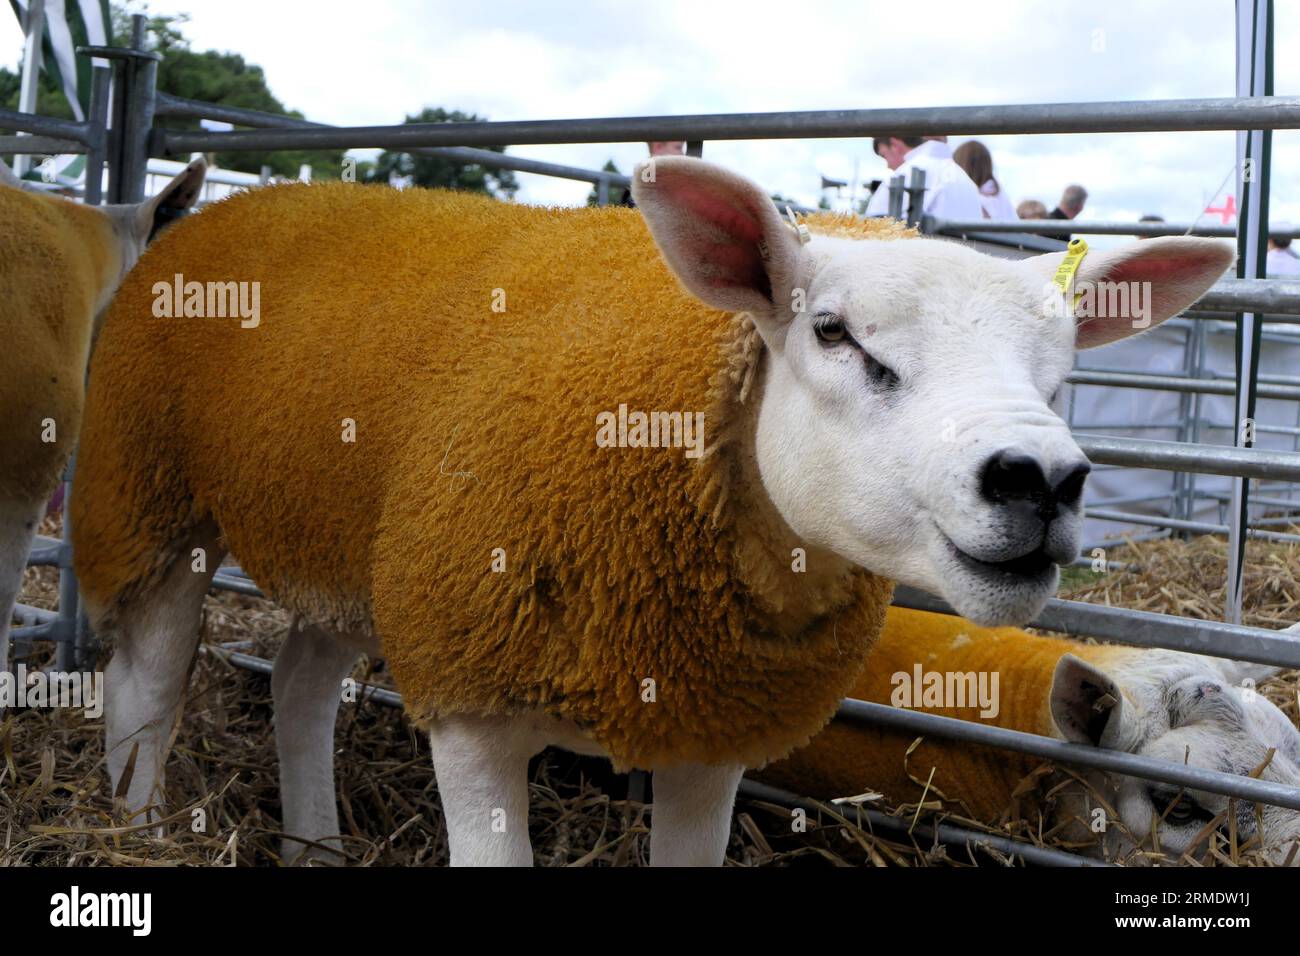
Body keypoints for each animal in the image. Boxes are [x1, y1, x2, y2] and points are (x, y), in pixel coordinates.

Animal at [68, 158, 1227, 868]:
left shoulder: (709, 730)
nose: (1041, 479)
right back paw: (141, 823)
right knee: (147, 680)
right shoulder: (471, 697)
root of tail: (246, 193)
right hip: (146, 497)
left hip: (371, 553)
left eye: (1062, 365)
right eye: (834, 332)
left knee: (302, 682)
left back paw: (315, 844)